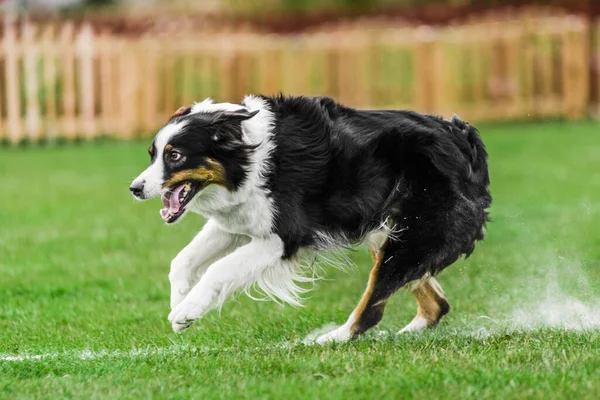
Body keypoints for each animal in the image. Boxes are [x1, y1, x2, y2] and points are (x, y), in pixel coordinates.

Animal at [129, 95, 490, 342]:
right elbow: (182, 260)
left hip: (412, 233)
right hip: (386, 230)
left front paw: (186, 311)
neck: (249, 157)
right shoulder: (239, 220)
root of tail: (462, 135)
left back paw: (330, 339)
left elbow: (218, 269)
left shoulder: (284, 238)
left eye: (175, 156)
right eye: (152, 154)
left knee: (374, 306)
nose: (135, 188)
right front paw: (180, 300)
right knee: (436, 302)